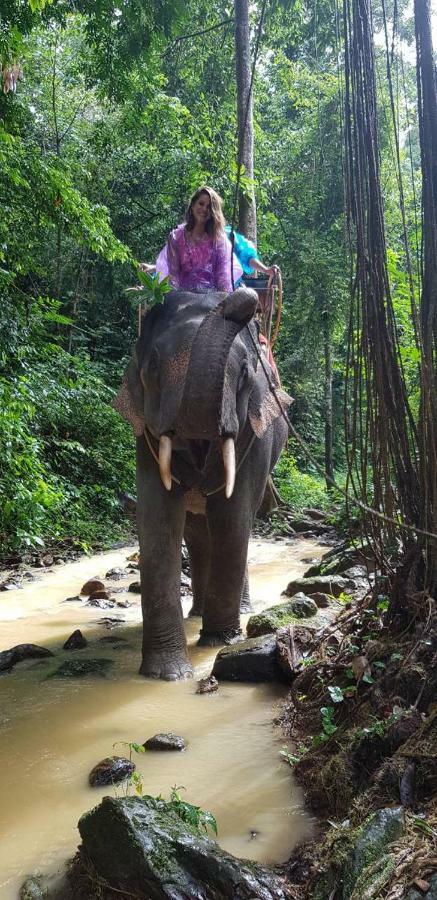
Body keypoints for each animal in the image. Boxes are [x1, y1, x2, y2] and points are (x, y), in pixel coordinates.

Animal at [115, 288, 292, 684]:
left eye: (243, 374)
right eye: (152, 366)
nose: (246, 296)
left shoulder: (253, 437)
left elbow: (233, 516)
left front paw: (219, 641)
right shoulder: (146, 436)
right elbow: (158, 519)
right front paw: (166, 675)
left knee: (233, 528)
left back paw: (237, 612)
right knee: (197, 533)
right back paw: (196, 612)